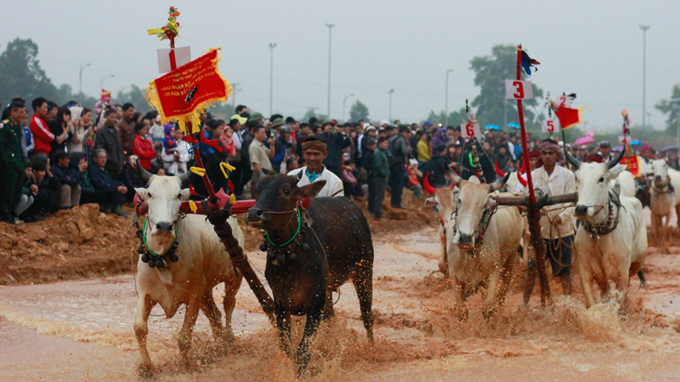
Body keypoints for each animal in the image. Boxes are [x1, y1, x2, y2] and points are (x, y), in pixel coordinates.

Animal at [132, 168, 242, 376]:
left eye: (178, 195)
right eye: (150, 194)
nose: (164, 226)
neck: (164, 258)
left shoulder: (194, 294)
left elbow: (184, 337)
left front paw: (186, 365)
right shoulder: (144, 291)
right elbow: (140, 328)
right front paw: (146, 367)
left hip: (234, 276)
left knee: (228, 305)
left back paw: (229, 339)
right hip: (207, 291)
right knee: (215, 315)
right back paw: (219, 346)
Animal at [247, 175, 372, 378]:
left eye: (286, 190)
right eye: (258, 190)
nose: (253, 213)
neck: (291, 258)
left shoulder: (316, 300)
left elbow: (304, 348)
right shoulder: (280, 301)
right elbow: (286, 346)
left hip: (364, 272)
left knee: (367, 314)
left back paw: (372, 347)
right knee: (331, 318)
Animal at [444, 171, 524, 320]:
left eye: (484, 205)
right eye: (459, 200)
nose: (465, 237)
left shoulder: (493, 274)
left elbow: (488, 308)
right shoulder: (455, 277)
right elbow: (462, 311)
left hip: (510, 260)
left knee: (502, 292)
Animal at [564, 151, 648, 308]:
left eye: (601, 179)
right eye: (578, 178)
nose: (581, 209)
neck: (599, 235)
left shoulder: (622, 274)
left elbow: (620, 302)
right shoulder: (586, 271)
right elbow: (591, 302)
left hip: (636, 263)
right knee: (605, 292)